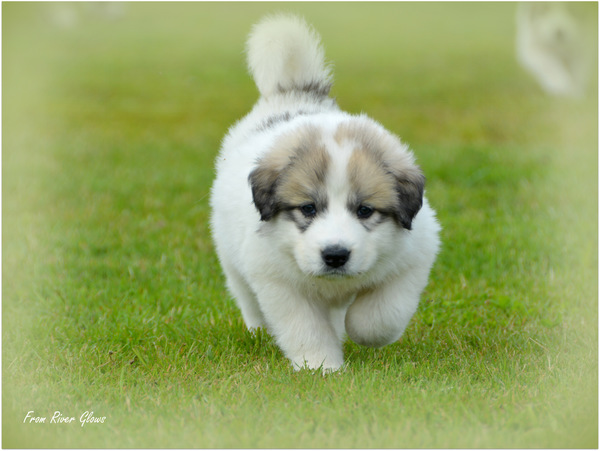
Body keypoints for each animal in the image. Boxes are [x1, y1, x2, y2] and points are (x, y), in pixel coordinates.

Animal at [211, 15, 440, 374]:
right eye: (308, 208)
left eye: (364, 210)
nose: (335, 255)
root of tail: (293, 94)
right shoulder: (277, 278)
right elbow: (305, 326)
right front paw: (320, 367)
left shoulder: (415, 255)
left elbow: (383, 312)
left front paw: (361, 331)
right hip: (233, 260)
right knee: (249, 300)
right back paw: (259, 331)